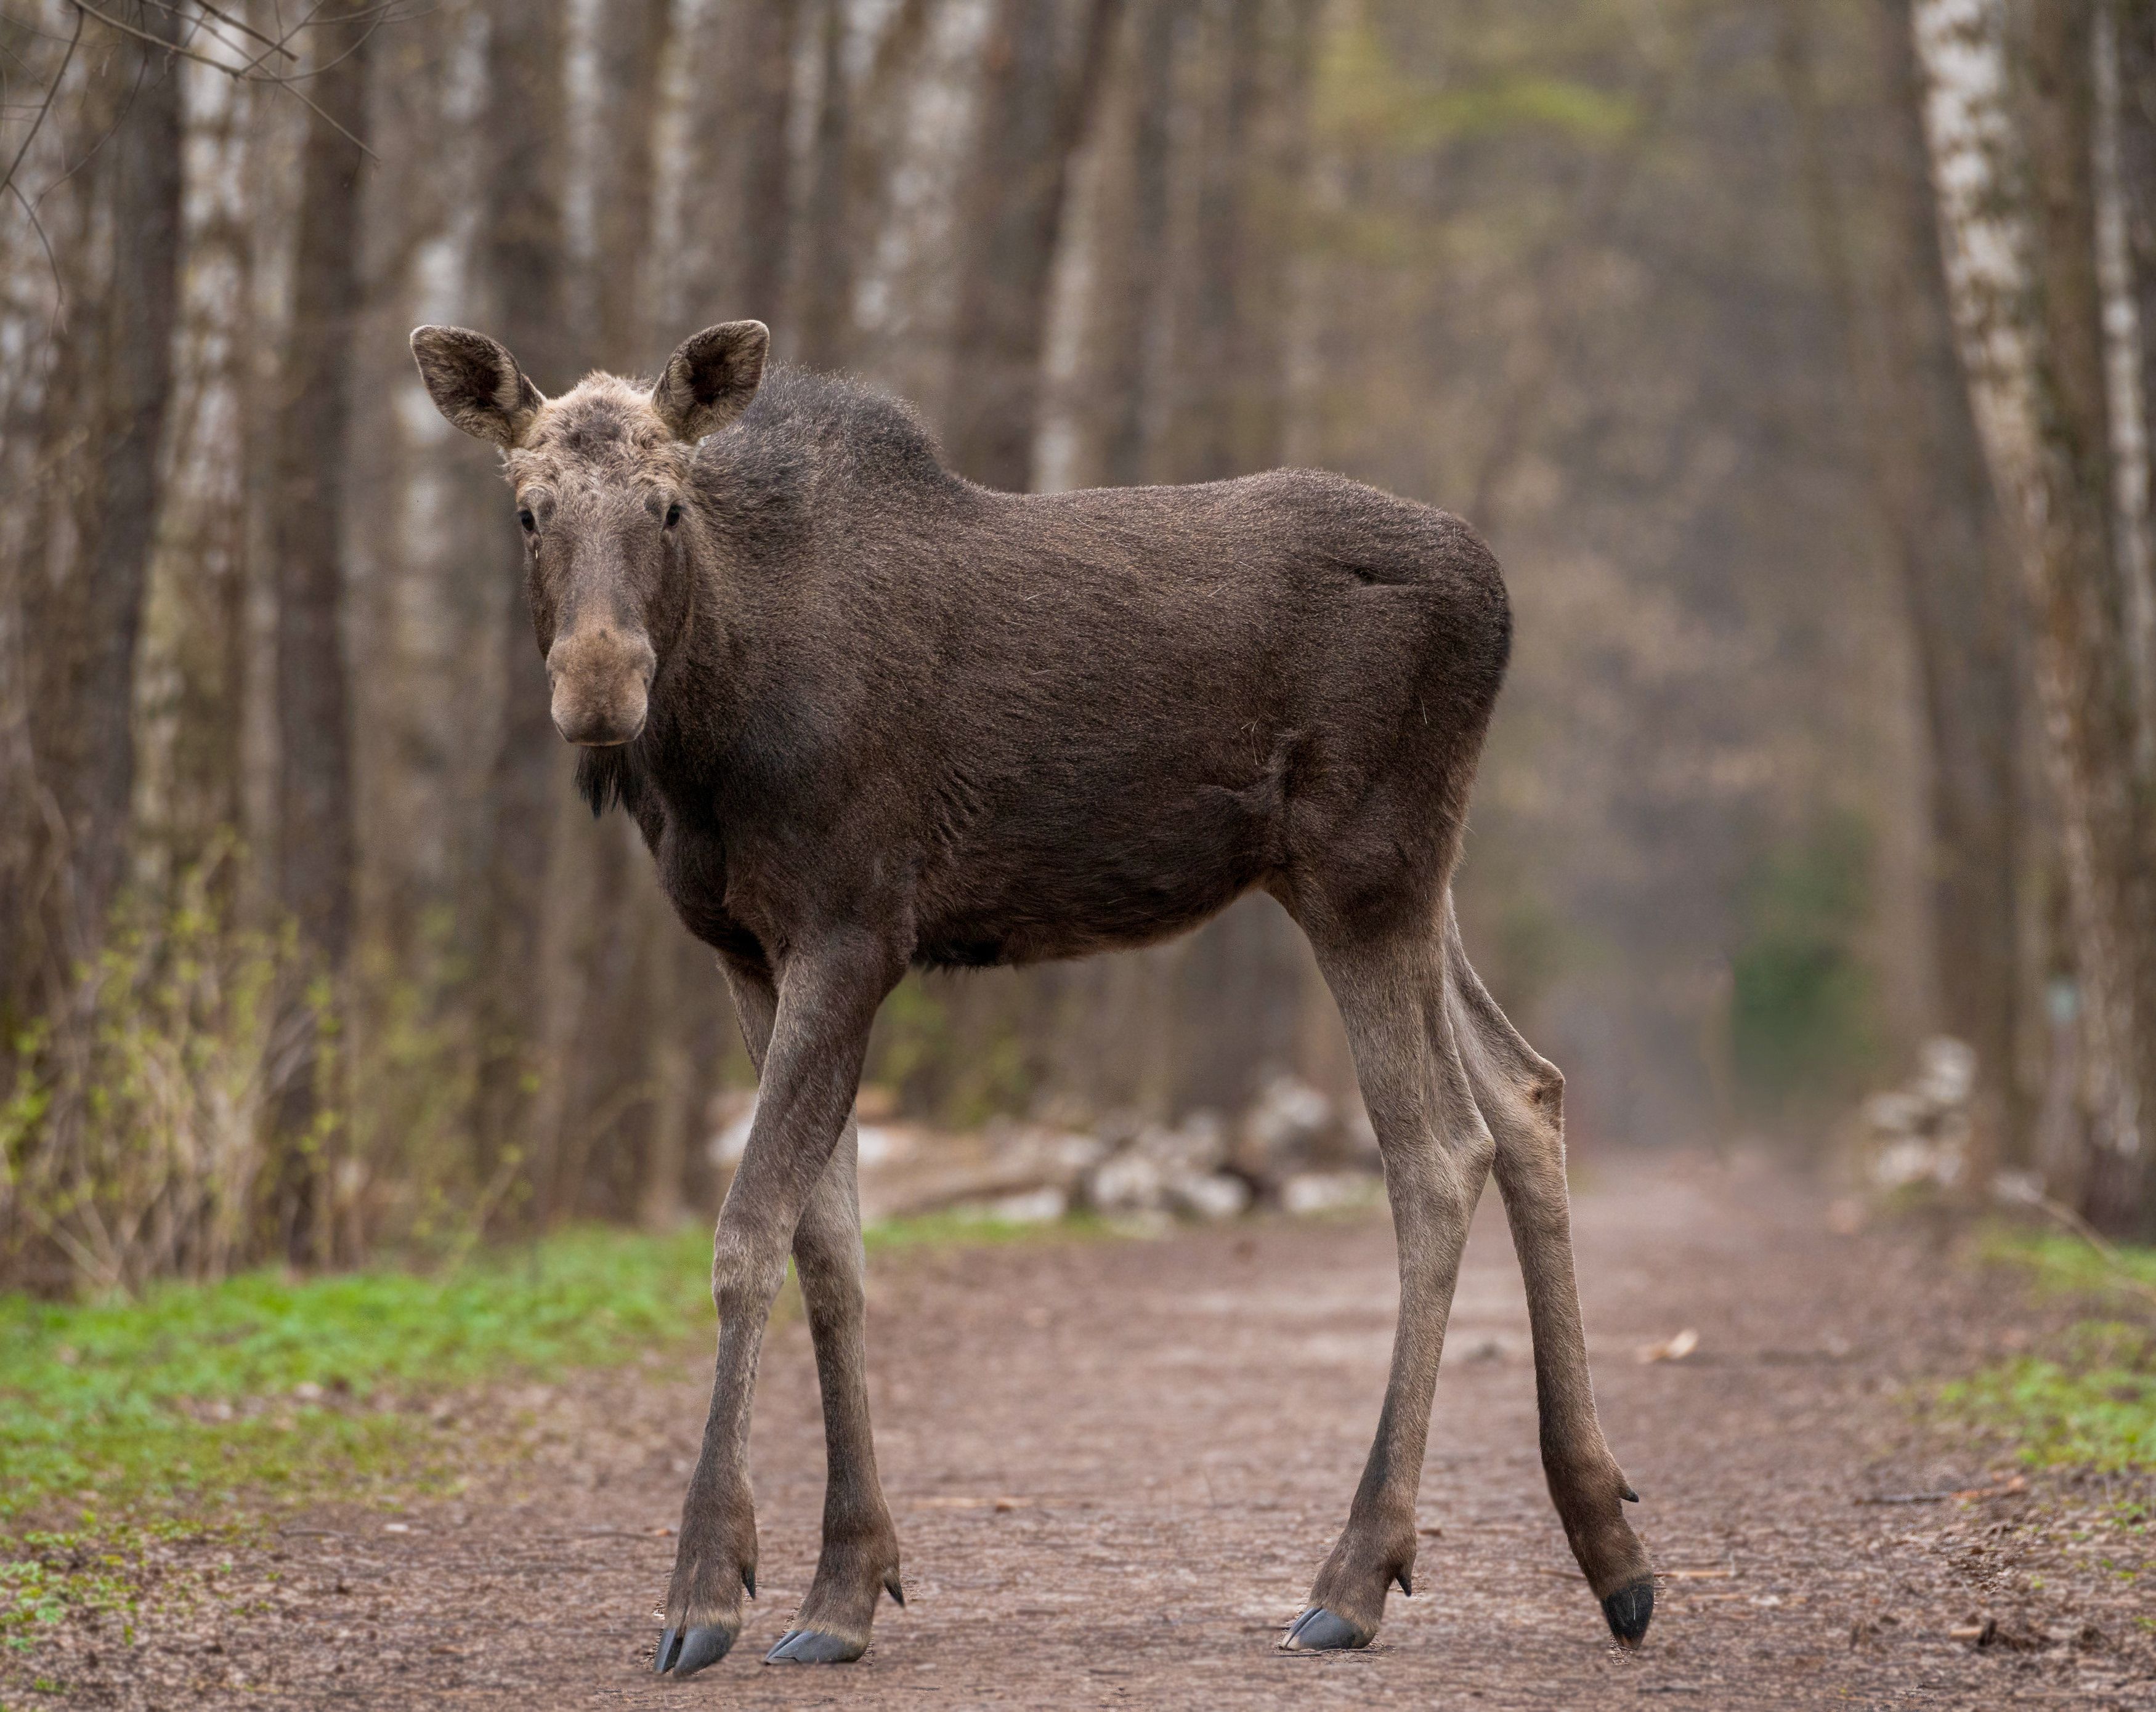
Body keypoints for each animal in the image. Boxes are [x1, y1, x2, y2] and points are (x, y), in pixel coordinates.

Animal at [407, 317, 1647, 1664]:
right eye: (527, 509)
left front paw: (706, 1588)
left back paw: (1358, 1574)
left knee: (1438, 1149)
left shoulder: (854, 927)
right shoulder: (746, 951)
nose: (596, 687)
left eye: (668, 505)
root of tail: (1498, 593)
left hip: (1363, 872)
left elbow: (747, 1232)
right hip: (1413, 880)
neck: (705, 744)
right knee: (1527, 1089)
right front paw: (846, 1584)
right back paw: (1611, 1546)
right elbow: (832, 1244)